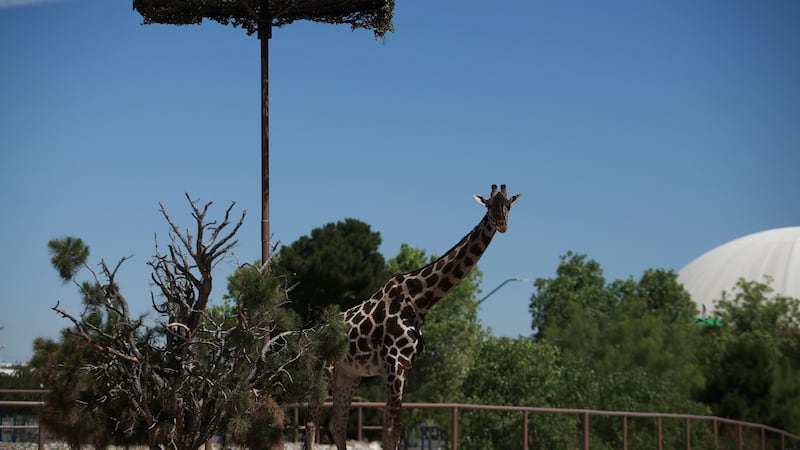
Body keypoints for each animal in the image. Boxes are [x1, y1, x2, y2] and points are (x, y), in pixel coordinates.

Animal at [307, 184, 520, 450]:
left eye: (508, 205)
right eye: (489, 206)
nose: (502, 224)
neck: (419, 302)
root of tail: (312, 334)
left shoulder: (405, 367)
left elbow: (395, 430)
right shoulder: (394, 364)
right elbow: (390, 431)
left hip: (348, 374)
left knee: (336, 424)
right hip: (322, 370)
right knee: (311, 423)